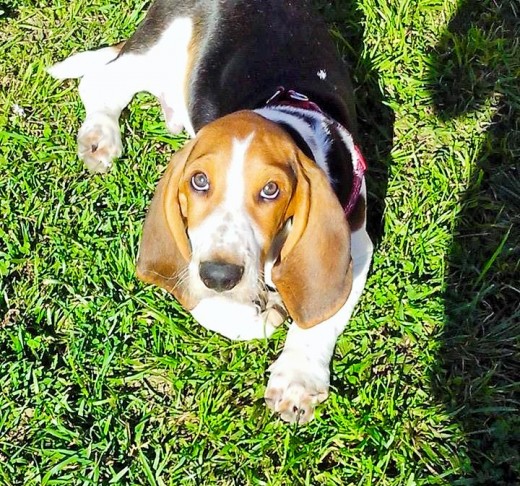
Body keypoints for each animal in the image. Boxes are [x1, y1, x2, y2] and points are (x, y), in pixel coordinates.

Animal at [48, 0, 374, 424]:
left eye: (271, 189)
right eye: (199, 181)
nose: (220, 275)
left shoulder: (357, 244)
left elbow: (320, 318)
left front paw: (297, 379)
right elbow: (210, 304)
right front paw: (259, 315)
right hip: (155, 52)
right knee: (101, 80)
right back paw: (100, 136)